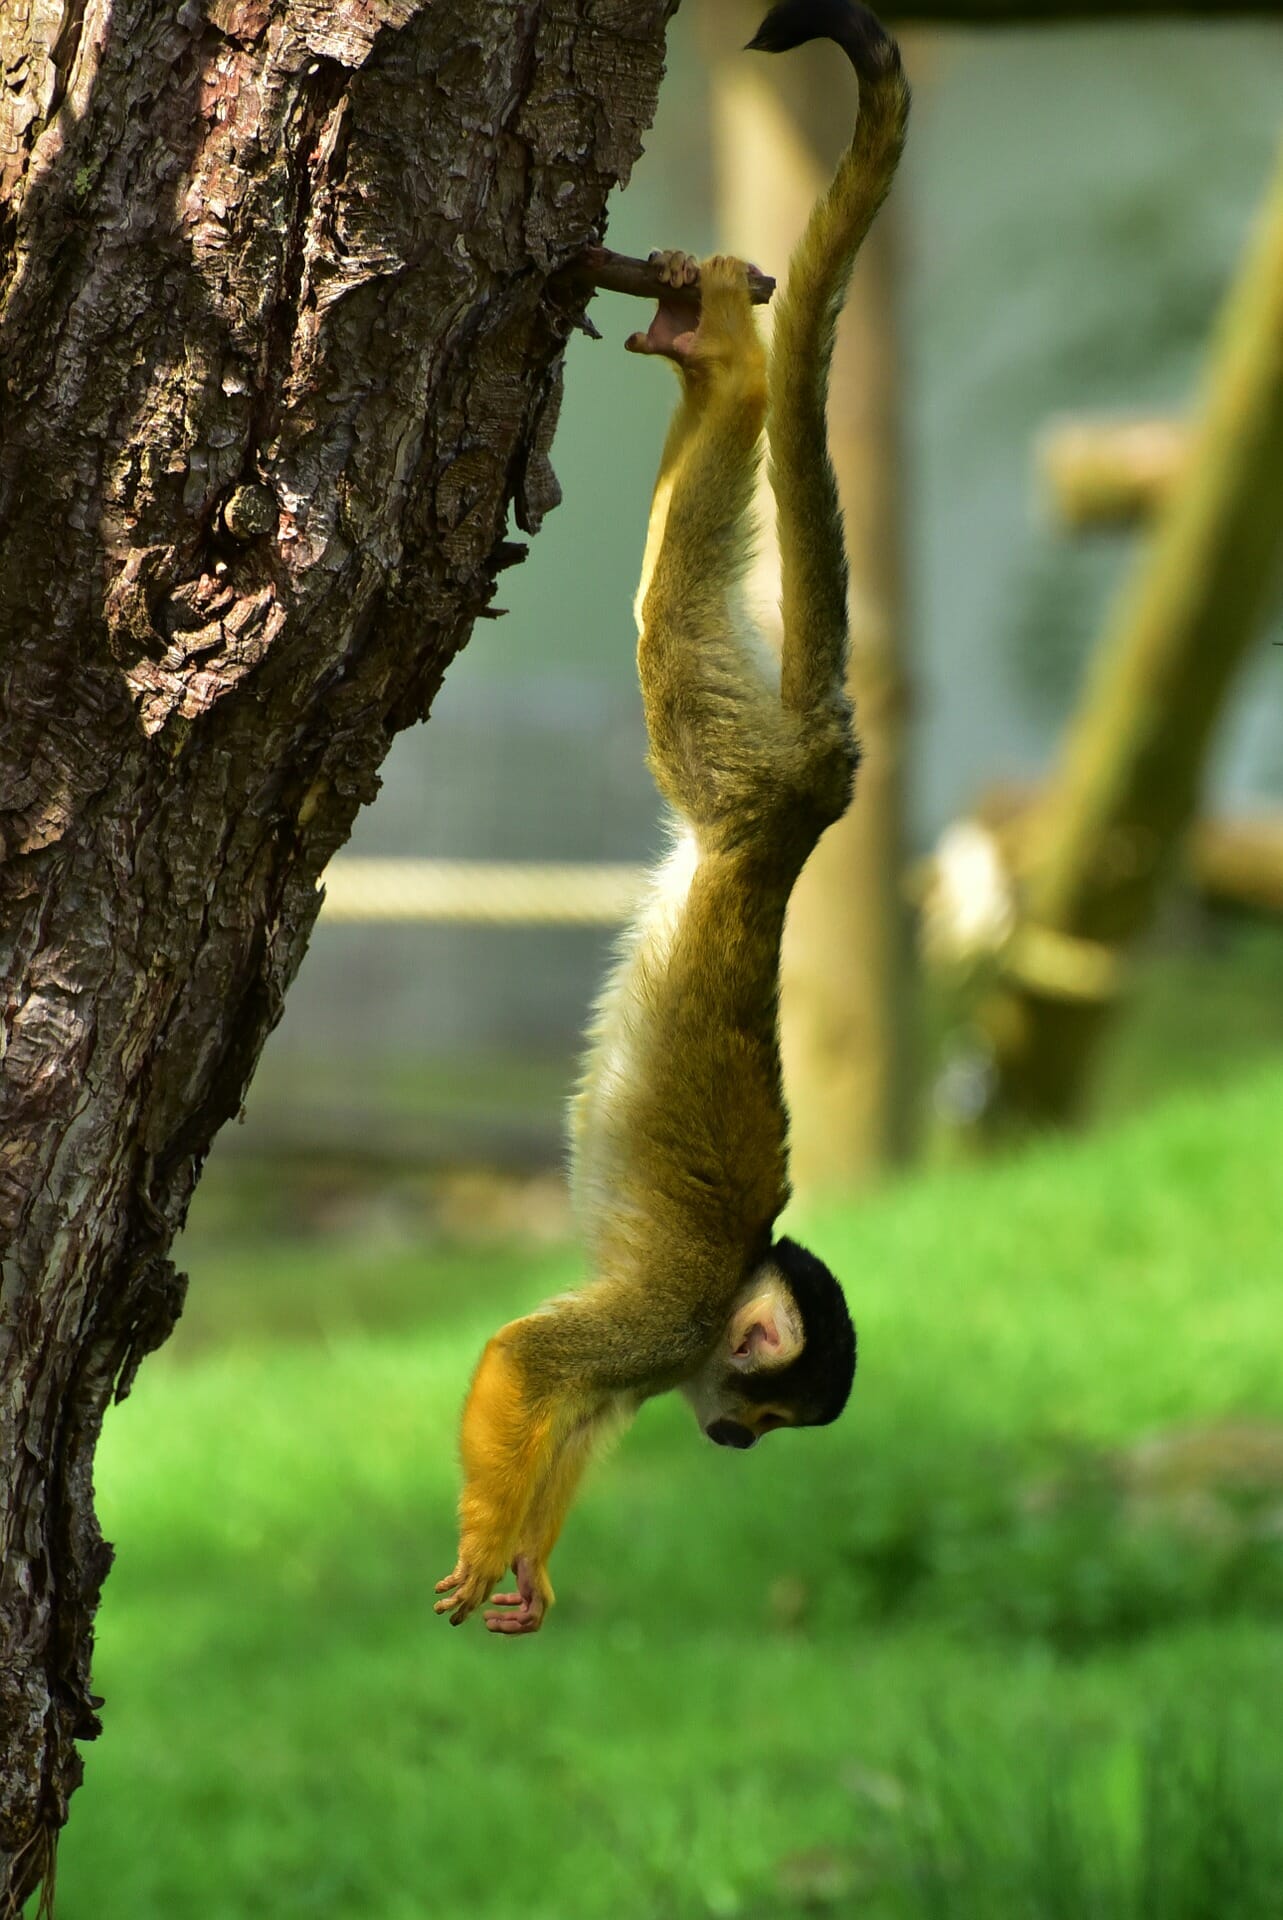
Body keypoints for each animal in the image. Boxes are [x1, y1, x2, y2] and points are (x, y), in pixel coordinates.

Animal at [434, 0, 909, 1636]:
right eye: (762, 1410)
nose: (731, 1444)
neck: (722, 1307)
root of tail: (813, 787)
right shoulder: (670, 1317)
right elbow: (529, 1357)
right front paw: (478, 1547)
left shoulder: (654, 1359)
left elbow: (571, 1407)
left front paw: (525, 1566)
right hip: (727, 761)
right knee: (675, 628)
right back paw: (730, 371)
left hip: (746, 778)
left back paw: (724, 378)